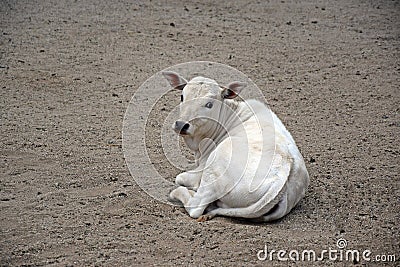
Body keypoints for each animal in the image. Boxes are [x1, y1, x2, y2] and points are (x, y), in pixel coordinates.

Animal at [162, 70, 310, 222]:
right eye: (182, 96)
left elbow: (180, 177)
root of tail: (283, 172)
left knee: (195, 207)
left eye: (209, 104)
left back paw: (176, 193)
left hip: (214, 170)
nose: (181, 125)